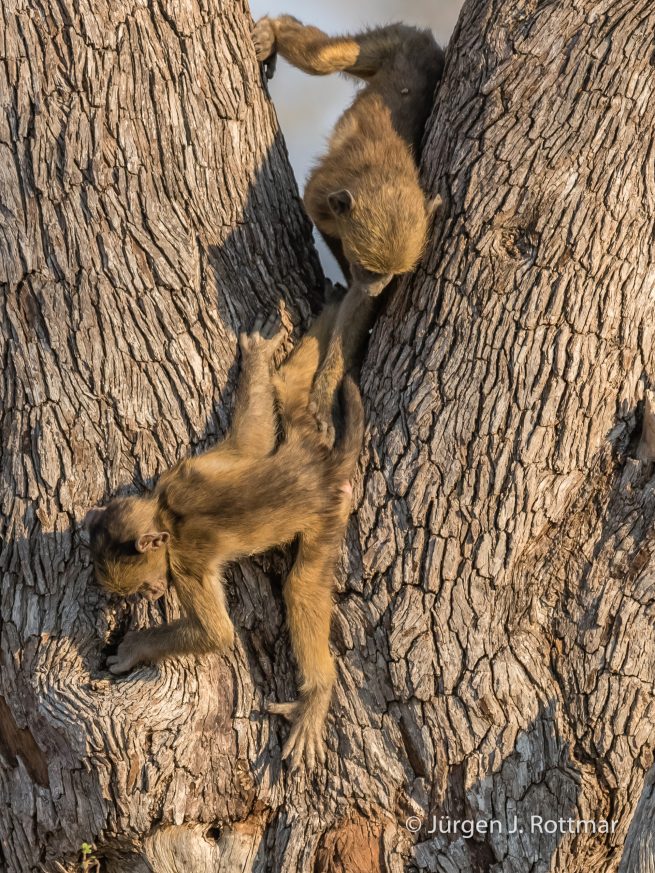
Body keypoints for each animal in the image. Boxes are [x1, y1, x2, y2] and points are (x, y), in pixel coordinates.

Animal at [85, 308, 364, 770]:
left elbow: (217, 634)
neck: (166, 515)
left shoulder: (186, 563)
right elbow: (249, 444)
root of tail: (322, 470)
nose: (152, 594)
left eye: (141, 587)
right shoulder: (187, 472)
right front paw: (257, 357)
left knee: (301, 587)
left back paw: (315, 696)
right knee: (286, 386)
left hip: (329, 515)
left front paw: (134, 647)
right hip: (306, 439)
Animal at [252, 16, 444, 438]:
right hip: (396, 40)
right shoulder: (321, 197)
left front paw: (324, 396)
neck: (384, 176)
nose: (377, 286)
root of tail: (425, 38)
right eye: (372, 269)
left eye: (391, 275)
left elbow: (357, 304)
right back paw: (275, 29)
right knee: (322, 58)